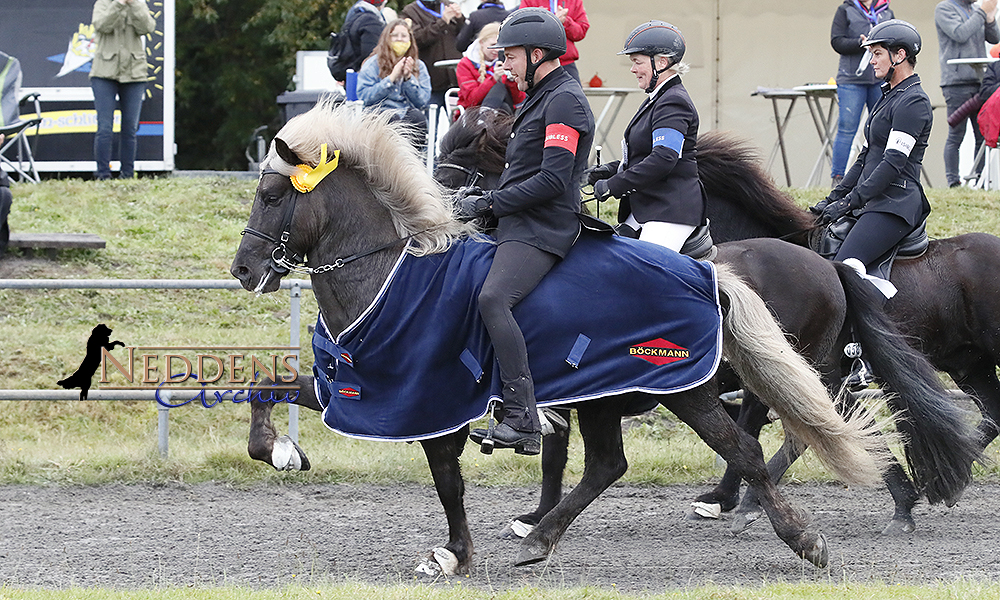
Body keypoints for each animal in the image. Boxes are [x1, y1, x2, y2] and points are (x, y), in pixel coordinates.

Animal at [230, 101, 888, 576]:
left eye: (271, 196)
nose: (242, 270)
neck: (389, 273)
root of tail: (709, 275)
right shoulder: (357, 385)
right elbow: (267, 387)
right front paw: (280, 451)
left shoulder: (430, 400)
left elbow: (448, 479)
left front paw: (456, 554)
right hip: (606, 394)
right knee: (610, 464)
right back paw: (543, 539)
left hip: (683, 388)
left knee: (745, 448)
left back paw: (797, 535)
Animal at [438, 105, 984, 536]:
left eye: (459, 172)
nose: (442, 225)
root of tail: (828, 267)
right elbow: (555, 451)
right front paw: (535, 517)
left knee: (806, 427)